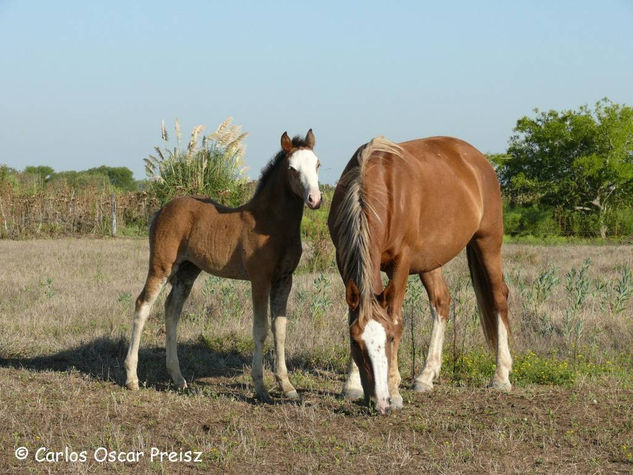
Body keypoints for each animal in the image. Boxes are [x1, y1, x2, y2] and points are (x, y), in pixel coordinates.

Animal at [124, 130, 320, 402]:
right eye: (292, 168)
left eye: (317, 164)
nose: (315, 199)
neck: (271, 224)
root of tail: (162, 209)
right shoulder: (260, 280)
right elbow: (260, 329)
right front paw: (260, 388)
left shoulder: (285, 279)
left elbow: (279, 328)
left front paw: (287, 386)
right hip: (161, 266)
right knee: (143, 305)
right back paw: (132, 378)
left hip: (187, 271)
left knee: (172, 309)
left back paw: (178, 378)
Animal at [328, 136, 512, 414]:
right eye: (356, 343)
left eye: (390, 339)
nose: (380, 402)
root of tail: (479, 161)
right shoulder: (343, 259)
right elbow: (353, 314)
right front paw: (351, 384)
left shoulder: (401, 263)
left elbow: (395, 317)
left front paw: (394, 391)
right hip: (430, 261)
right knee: (441, 301)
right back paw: (426, 376)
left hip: (488, 242)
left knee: (498, 297)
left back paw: (501, 375)